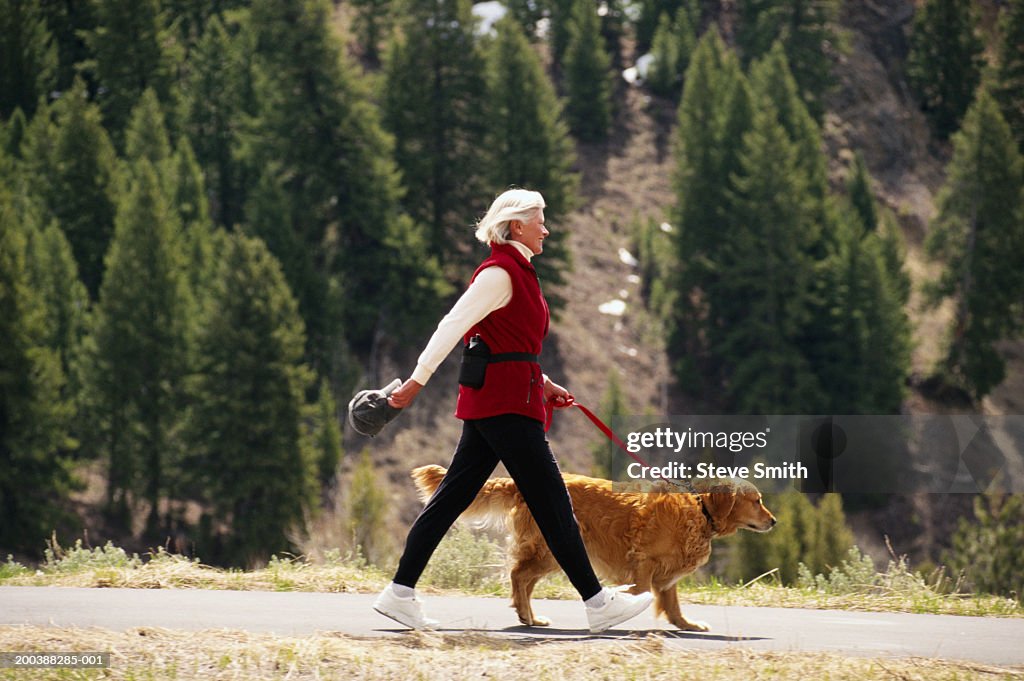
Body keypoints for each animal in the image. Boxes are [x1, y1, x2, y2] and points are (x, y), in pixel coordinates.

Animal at [407, 464, 774, 630]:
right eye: (757, 501)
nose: (773, 521)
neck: (699, 508)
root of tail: (520, 484)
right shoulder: (644, 561)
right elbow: (643, 590)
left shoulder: (667, 573)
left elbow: (672, 604)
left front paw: (688, 625)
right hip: (550, 549)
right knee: (517, 574)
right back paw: (526, 615)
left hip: (551, 553)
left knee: (523, 580)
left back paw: (530, 618)